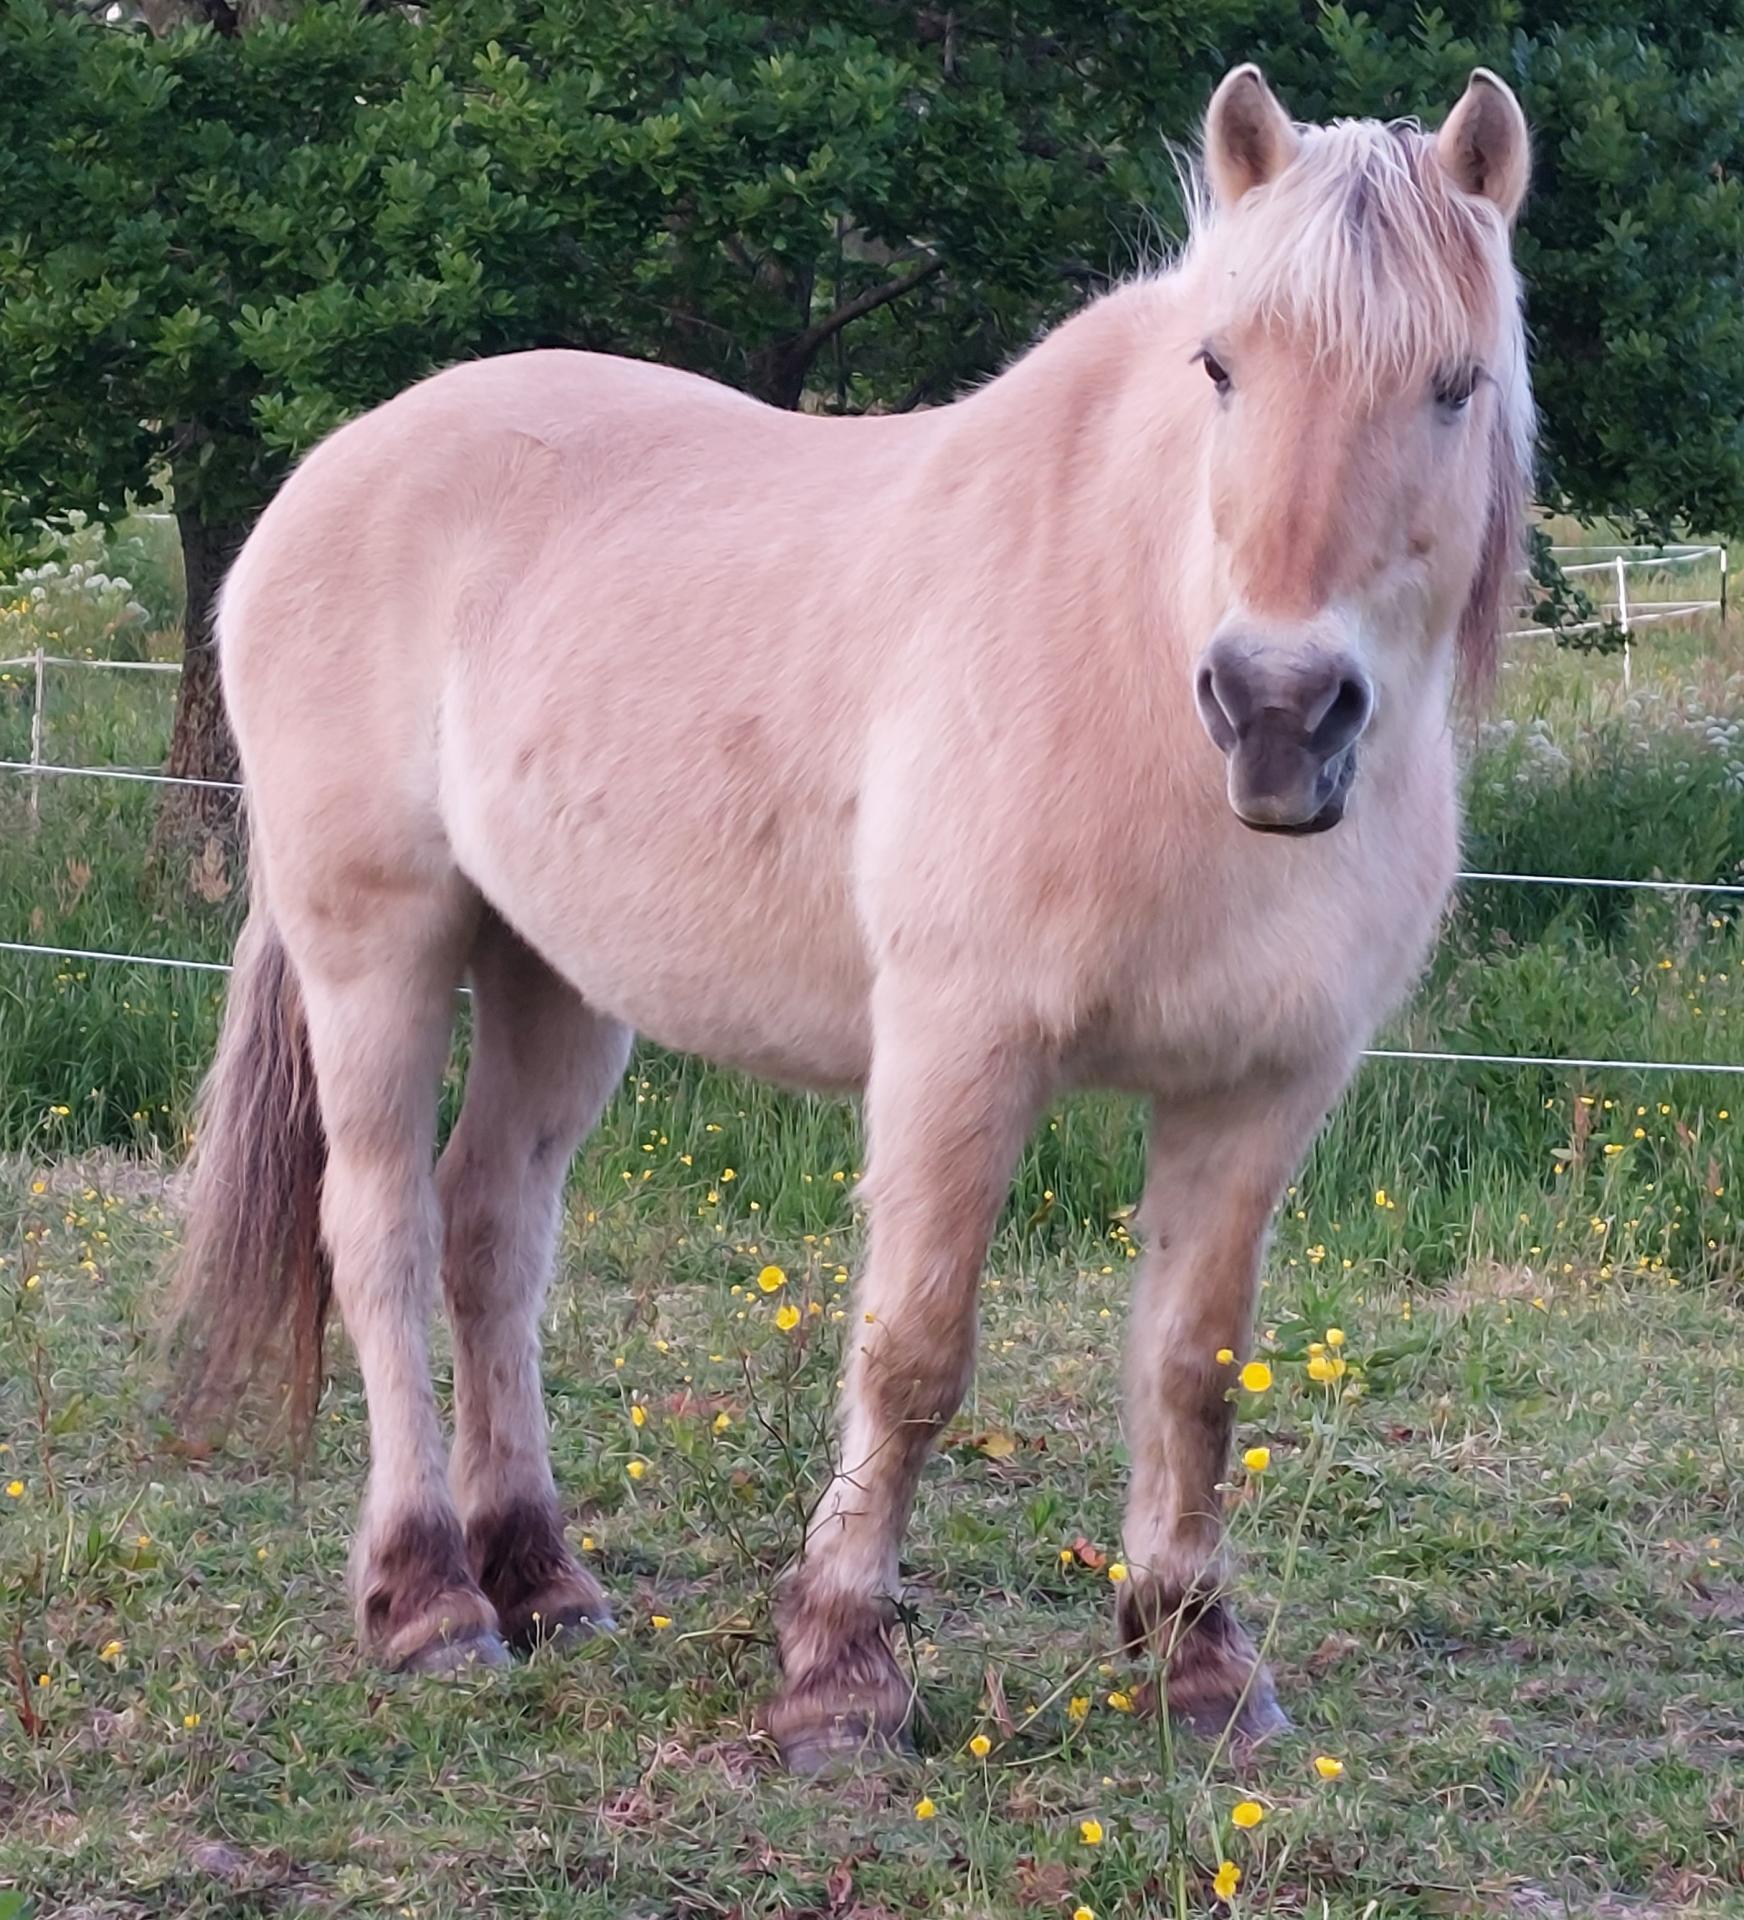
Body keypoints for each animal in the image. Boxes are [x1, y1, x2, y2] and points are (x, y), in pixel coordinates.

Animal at [169, 63, 1536, 1766]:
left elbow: (1194, 1369)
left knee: (493, 1231)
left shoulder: (1261, 1087)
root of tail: (333, 469)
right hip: (380, 950)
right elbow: (915, 1353)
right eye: (1221, 365)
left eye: (1455, 384)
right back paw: (429, 1602)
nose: (1278, 710)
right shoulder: (960, 1046)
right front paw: (840, 1670)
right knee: (381, 1233)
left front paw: (1198, 1660)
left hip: (555, 976)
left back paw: (542, 1577)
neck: (1127, 656)